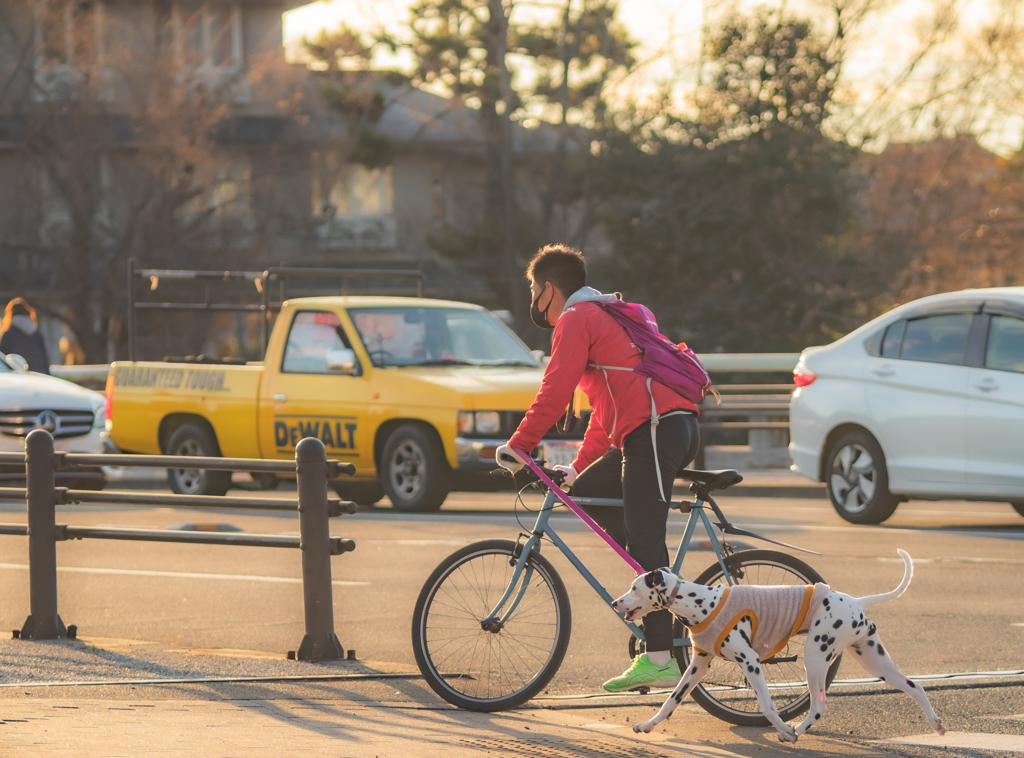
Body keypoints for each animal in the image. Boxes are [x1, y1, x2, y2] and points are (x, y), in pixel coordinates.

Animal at [606, 549, 942, 741]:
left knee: (819, 705)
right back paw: (936, 724)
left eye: (634, 587)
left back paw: (795, 733)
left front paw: (782, 728)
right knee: (915, 687)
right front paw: (647, 726)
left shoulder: (751, 662)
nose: (614, 602)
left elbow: (767, 707)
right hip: (873, 659)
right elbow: (671, 701)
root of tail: (857, 601)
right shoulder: (697, 666)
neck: (699, 602)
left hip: (815, 657)